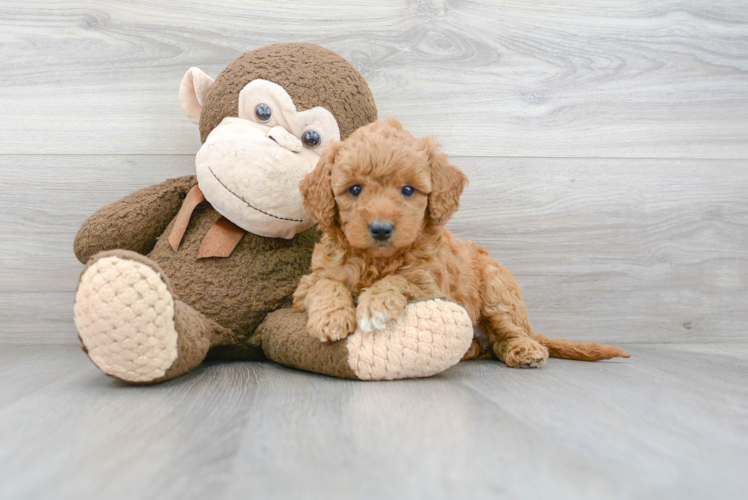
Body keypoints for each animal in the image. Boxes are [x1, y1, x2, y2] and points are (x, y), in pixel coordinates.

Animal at [296, 117, 628, 368]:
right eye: (354, 189)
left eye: (408, 190)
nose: (381, 229)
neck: (376, 260)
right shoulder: (307, 283)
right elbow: (325, 284)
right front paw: (331, 317)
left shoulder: (434, 289)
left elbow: (400, 281)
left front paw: (375, 304)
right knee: (490, 347)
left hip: (497, 291)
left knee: (511, 332)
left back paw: (526, 351)